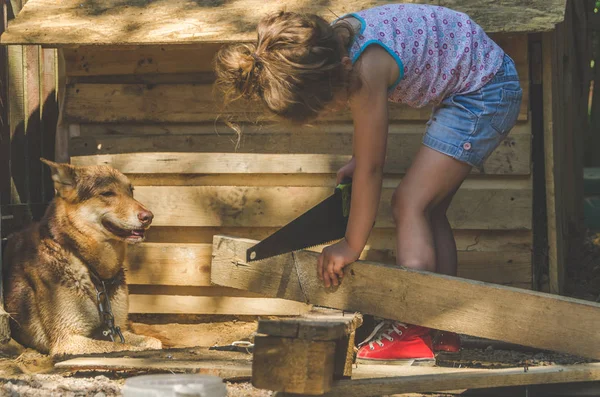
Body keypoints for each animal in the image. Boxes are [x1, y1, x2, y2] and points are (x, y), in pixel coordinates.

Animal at [2, 159, 162, 356]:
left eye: (131, 191)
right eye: (107, 193)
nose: (149, 217)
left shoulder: (118, 329)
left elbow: (152, 342)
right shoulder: (67, 340)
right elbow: (125, 348)